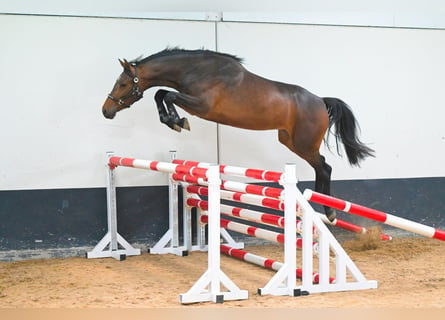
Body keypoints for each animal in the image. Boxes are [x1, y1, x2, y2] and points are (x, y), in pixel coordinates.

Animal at [102, 48, 372, 222]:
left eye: (123, 84)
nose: (106, 110)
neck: (196, 70)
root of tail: (320, 101)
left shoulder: (201, 106)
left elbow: (166, 94)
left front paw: (178, 122)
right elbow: (161, 94)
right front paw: (173, 121)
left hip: (304, 144)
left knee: (325, 167)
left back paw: (329, 211)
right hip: (291, 141)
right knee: (322, 167)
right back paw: (322, 206)